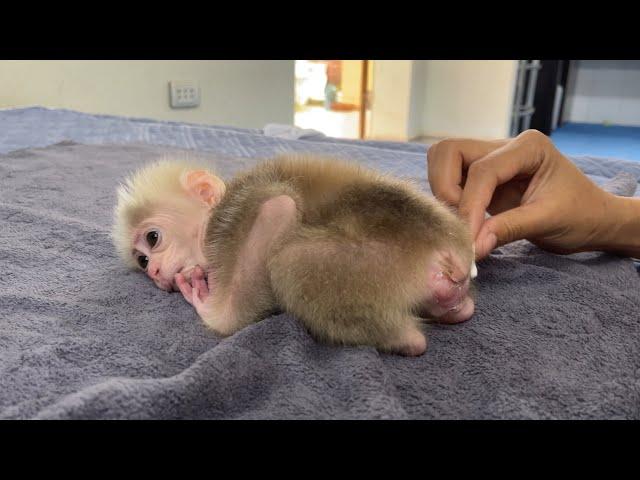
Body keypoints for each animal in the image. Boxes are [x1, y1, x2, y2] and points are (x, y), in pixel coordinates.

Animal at [114, 155, 476, 356]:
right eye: (142, 261)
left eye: (152, 239)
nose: (155, 271)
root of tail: (451, 248)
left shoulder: (234, 212)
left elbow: (278, 208)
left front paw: (209, 308)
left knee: (289, 262)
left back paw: (406, 340)